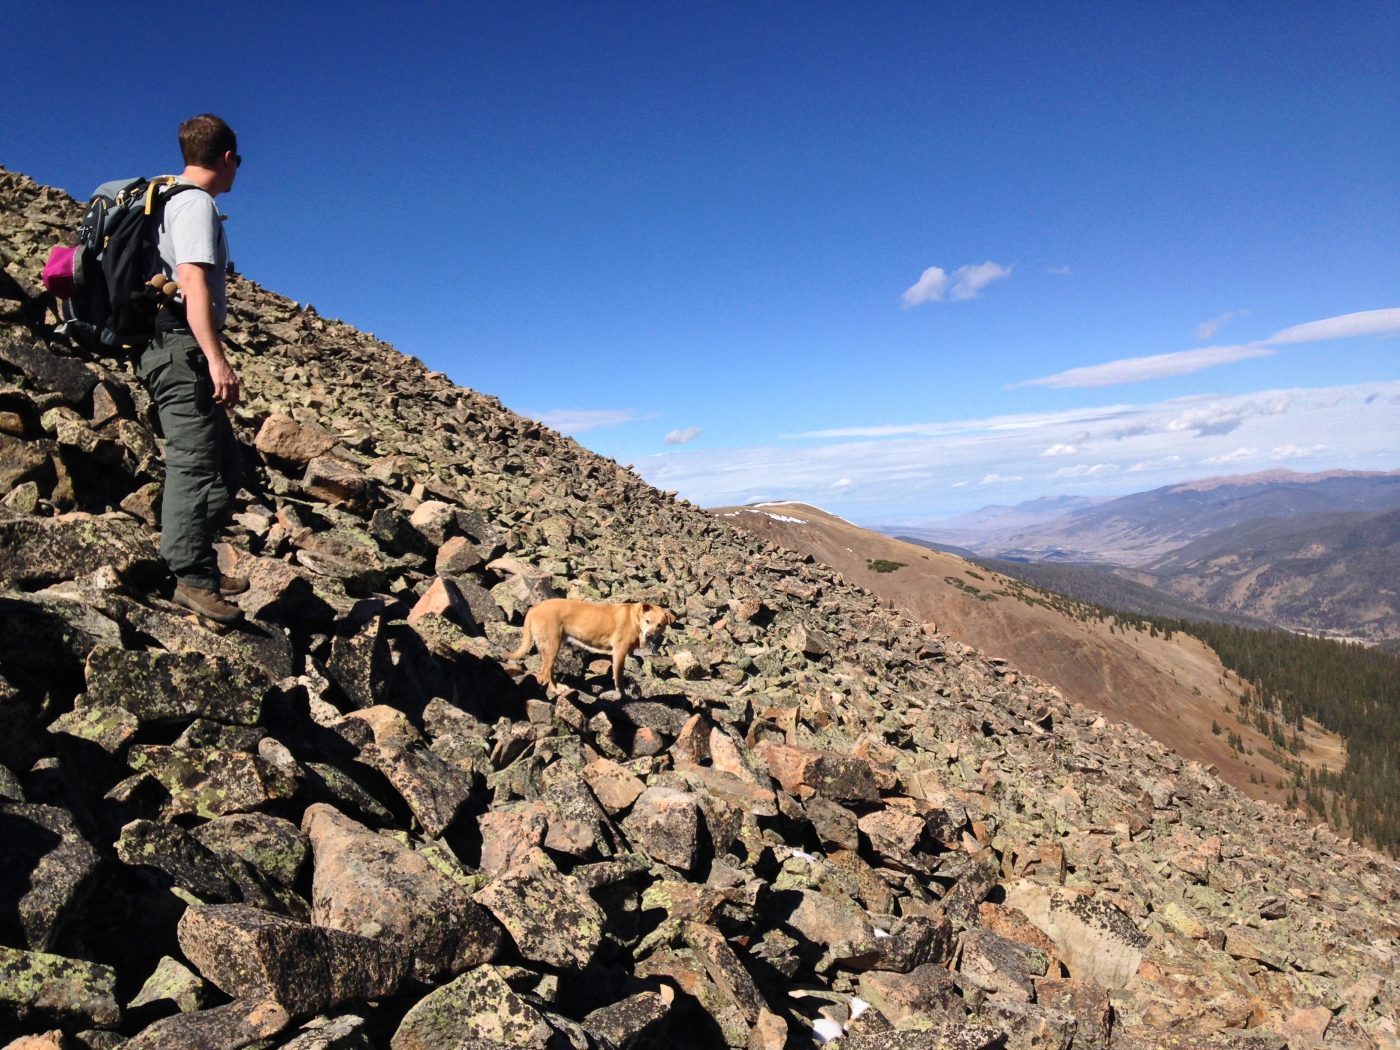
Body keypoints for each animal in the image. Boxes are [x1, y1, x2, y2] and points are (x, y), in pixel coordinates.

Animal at [509, 599, 677, 700]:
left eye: (660, 625)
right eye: (647, 621)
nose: (649, 635)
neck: (634, 619)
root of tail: (534, 608)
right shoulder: (619, 652)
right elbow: (619, 678)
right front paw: (622, 695)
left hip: (554, 647)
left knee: (549, 671)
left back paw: (559, 688)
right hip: (551, 645)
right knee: (544, 672)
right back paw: (555, 690)